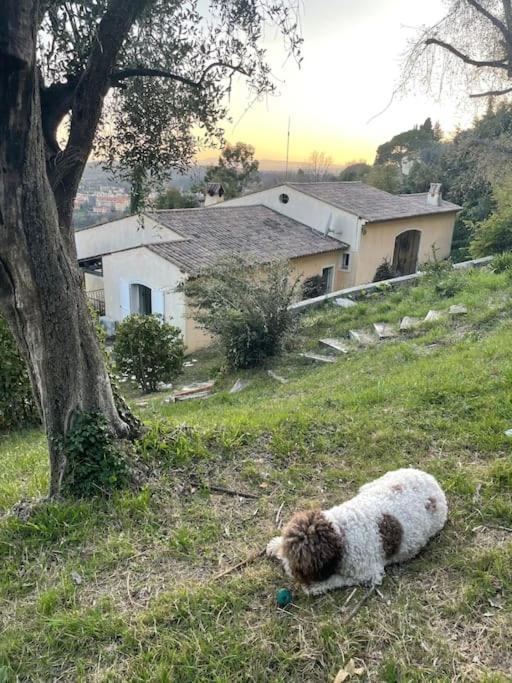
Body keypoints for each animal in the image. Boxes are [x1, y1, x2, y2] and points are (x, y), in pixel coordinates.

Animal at [266, 470, 446, 592]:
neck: (340, 533)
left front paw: (316, 586)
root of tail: (432, 479)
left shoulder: (369, 574)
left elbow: (337, 580)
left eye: (298, 562)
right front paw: (276, 545)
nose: (287, 569)